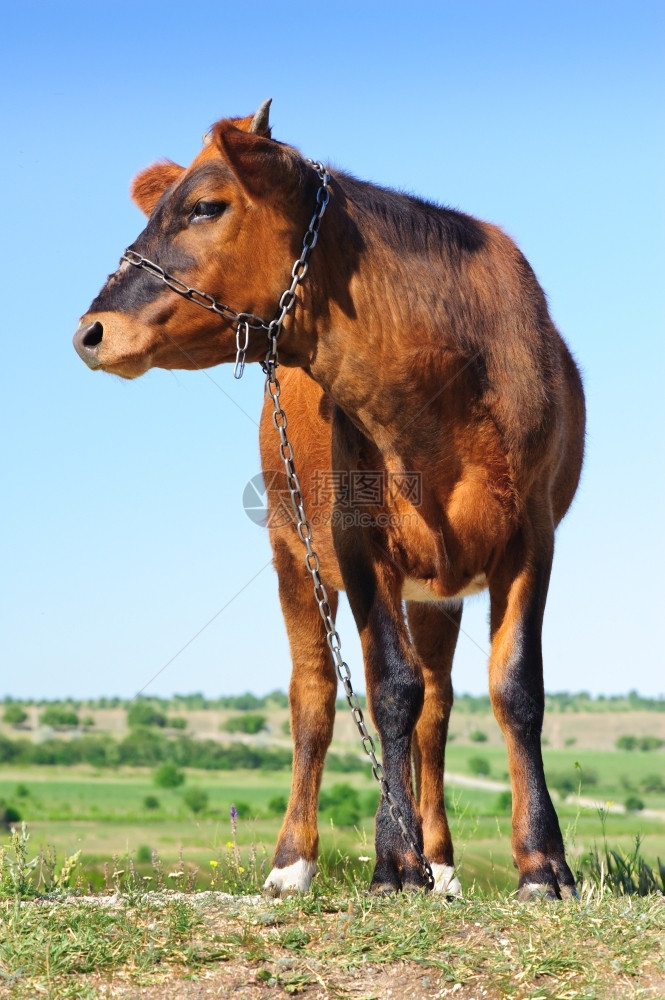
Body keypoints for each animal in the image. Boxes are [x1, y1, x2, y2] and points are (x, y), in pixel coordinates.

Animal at [72, 99, 584, 900]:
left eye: (205, 206)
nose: (91, 331)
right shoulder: (354, 536)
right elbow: (388, 690)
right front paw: (394, 860)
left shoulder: (532, 532)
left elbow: (514, 689)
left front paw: (540, 862)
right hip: (291, 551)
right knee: (314, 697)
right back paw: (294, 860)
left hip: (436, 588)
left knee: (437, 705)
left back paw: (442, 861)